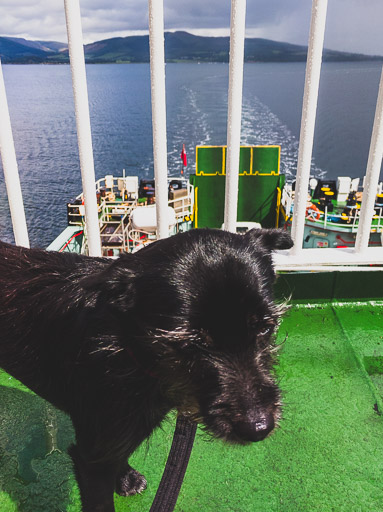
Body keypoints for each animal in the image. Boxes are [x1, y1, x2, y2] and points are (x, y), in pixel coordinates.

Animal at [0, 229, 292, 512]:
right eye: (190, 343)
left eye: (265, 328)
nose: (258, 428)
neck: (128, 348)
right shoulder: (91, 459)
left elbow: (121, 453)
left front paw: (124, 479)